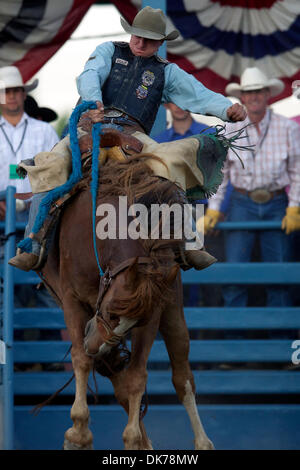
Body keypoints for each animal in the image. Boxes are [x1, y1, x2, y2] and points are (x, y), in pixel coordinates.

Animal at [40, 155, 213, 452]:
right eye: (110, 313)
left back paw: (201, 442)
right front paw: (78, 433)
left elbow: (136, 377)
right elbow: (81, 360)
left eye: (132, 322)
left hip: (173, 310)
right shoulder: (72, 300)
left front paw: (131, 439)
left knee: (182, 378)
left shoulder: (152, 312)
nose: (94, 346)